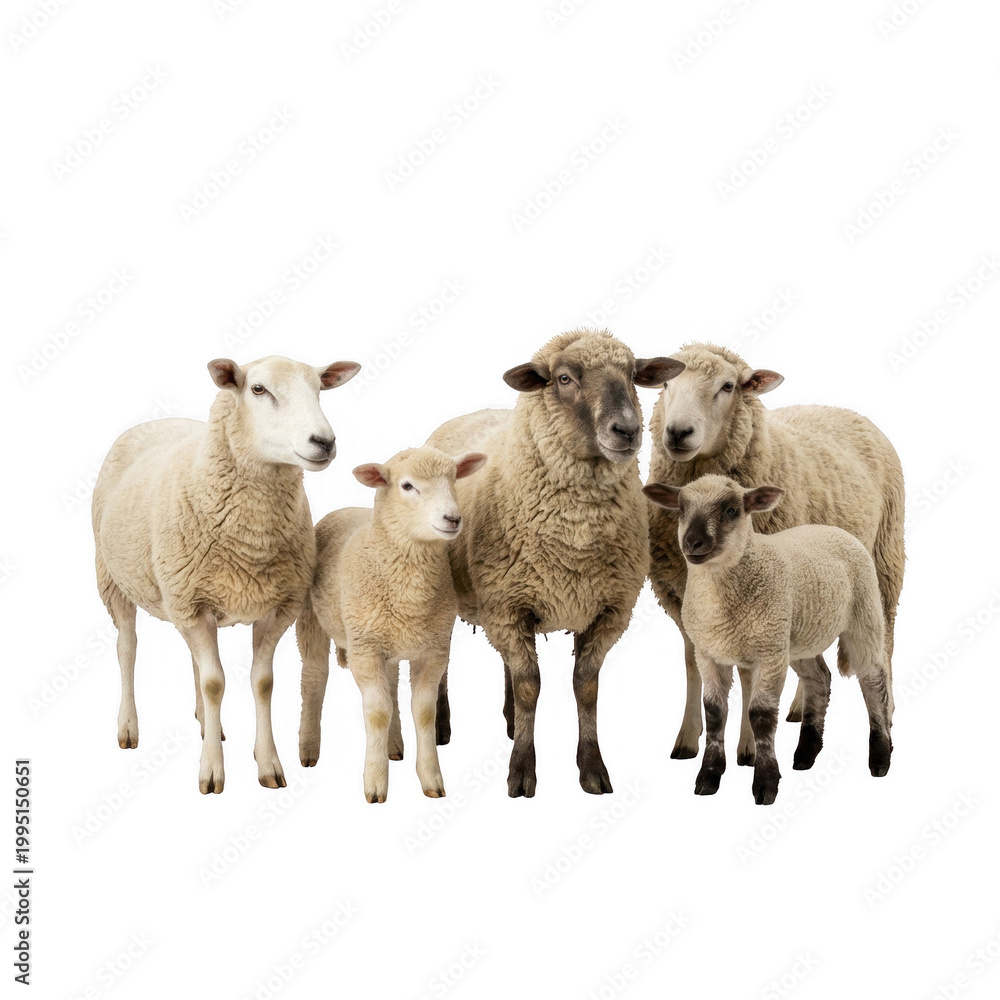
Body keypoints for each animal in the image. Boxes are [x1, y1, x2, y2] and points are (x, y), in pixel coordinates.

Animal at [92, 355, 361, 794]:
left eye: (320, 389)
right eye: (258, 389)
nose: (324, 442)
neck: (251, 540)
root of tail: (157, 421)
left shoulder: (275, 606)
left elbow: (261, 682)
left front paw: (268, 764)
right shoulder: (192, 604)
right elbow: (215, 683)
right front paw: (212, 771)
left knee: (194, 662)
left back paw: (208, 725)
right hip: (112, 577)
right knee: (127, 647)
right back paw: (129, 727)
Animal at [296, 447, 487, 803]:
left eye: (454, 479)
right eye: (407, 486)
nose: (453, 519)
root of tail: (343, 509)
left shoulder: (434, 650)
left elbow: (423, 712)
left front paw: (431, 779)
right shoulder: (365, 649)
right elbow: (377, 712)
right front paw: (375, 783)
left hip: (393, 643)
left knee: (393, 687)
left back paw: (394, 746)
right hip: (312, 621)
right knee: (314, 679)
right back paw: (308, 749)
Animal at [425, 329, 685, 797]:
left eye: (632, 374)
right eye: (564, 377)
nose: (627, 429)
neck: (575, 541)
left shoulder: (607, 610)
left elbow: (586, 687)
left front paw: (592, 768)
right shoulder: (509, 607)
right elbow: (531, 686)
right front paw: (521, 771)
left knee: (508, 664)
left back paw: (510, 722)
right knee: (447, 660)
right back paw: (441, 725)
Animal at [644, 475, 893, 805]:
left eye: (732, 510)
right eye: (682, 509)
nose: (692, 543)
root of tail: (832, 529)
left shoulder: (769, 655)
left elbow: (760, 716)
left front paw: (765, 783)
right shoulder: (709, 652)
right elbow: (714, 712)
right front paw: (708, 777)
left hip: (862, 614)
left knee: (873, 680)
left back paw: (880, 758)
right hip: (797, 635)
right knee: (819, 679)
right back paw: (805, 755)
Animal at [646, 342, 904, 765]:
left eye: (728, 386)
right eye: (666, 384)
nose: (678, 432)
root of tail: (841, 408)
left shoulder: (762, 597)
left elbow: (750, 673)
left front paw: (749, 747)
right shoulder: (683, 596)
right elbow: (692, 664)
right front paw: (688, 737)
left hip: (884, 559)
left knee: (886, 638)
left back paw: (888, 707)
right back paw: (801, 707)